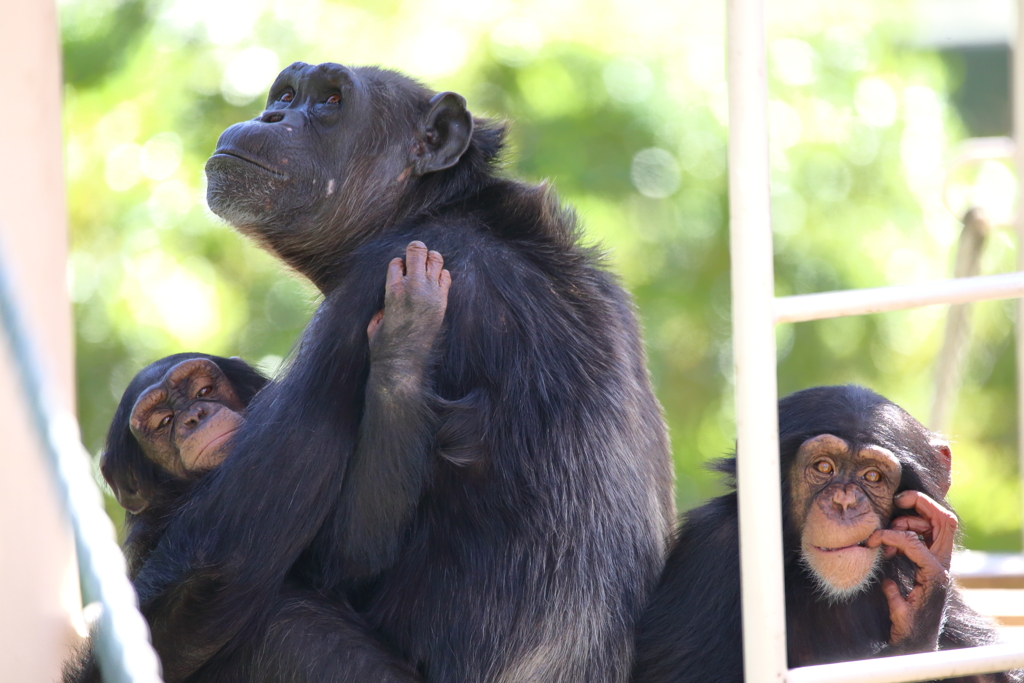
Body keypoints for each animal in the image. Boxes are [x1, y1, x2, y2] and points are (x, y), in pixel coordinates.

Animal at [62, 242, 448, 679]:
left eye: (203, 389)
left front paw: (405, 334)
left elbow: (349, 545)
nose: (195, 416)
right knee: (286, 619)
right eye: (163, 421)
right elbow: (348, 557)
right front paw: (404, 340)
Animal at [128, 62, 675, 683]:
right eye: (288, 94)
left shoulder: (377, 276)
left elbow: (238, 556)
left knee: (276, 615)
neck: (432, 210)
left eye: (331, 101)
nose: (272, 116)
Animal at [634, 385, 1019, 683]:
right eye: (823, 467)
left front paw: (928, 585)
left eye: (872, 476)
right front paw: (918, 624)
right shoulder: (713, 549)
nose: (844, 502)